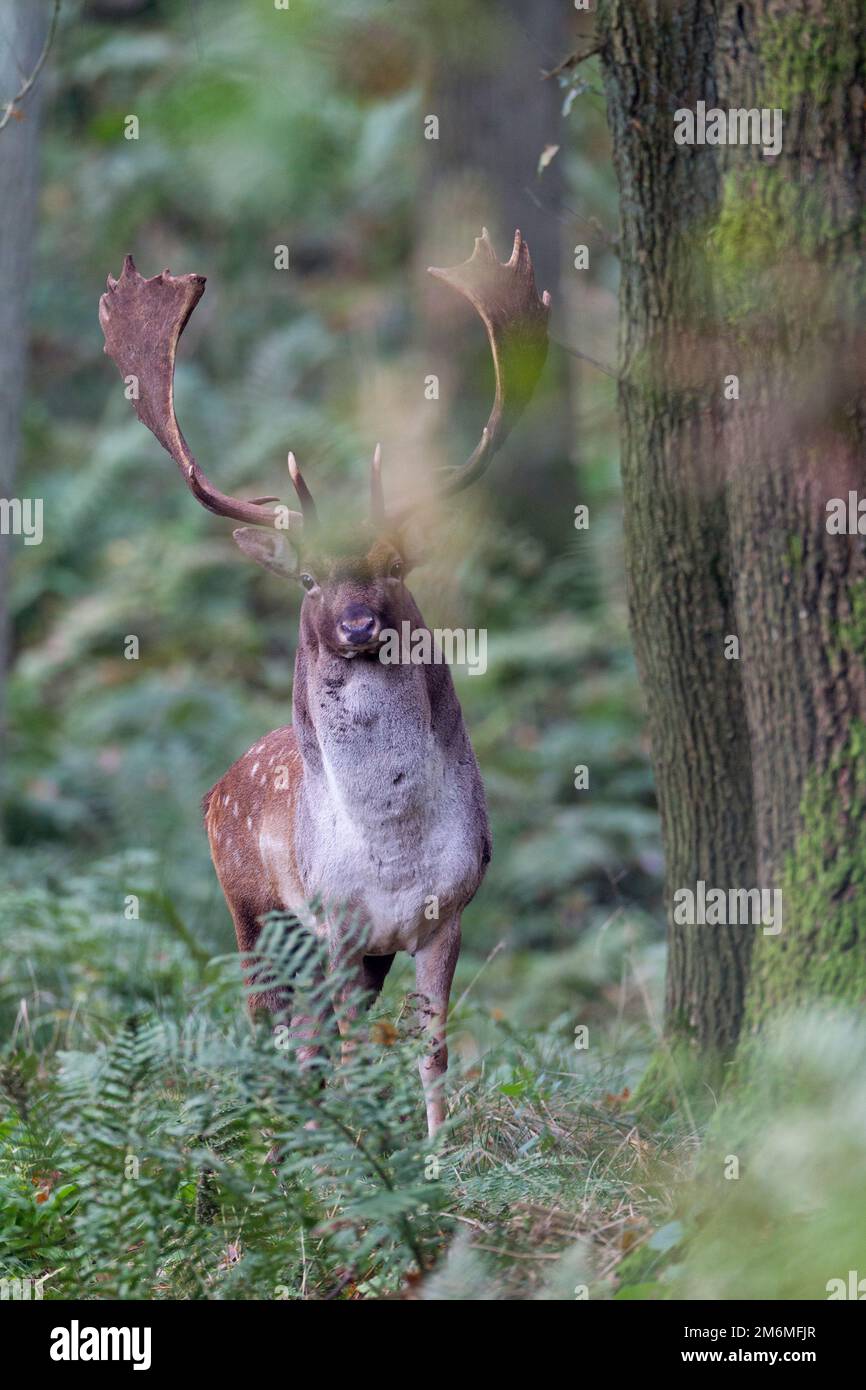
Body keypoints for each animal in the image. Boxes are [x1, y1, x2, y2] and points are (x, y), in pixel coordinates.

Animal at [99, 230, 550, 1136]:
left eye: (393, 566)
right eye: (308, 579)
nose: (359, 623)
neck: (392, 852)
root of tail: (217, 786)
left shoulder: (446, 912)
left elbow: (431, 1055)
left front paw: (436, 1158)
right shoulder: (336, 922)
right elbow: (345, 1057)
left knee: (306, 1044)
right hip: (253, 907)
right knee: (271, 1031)